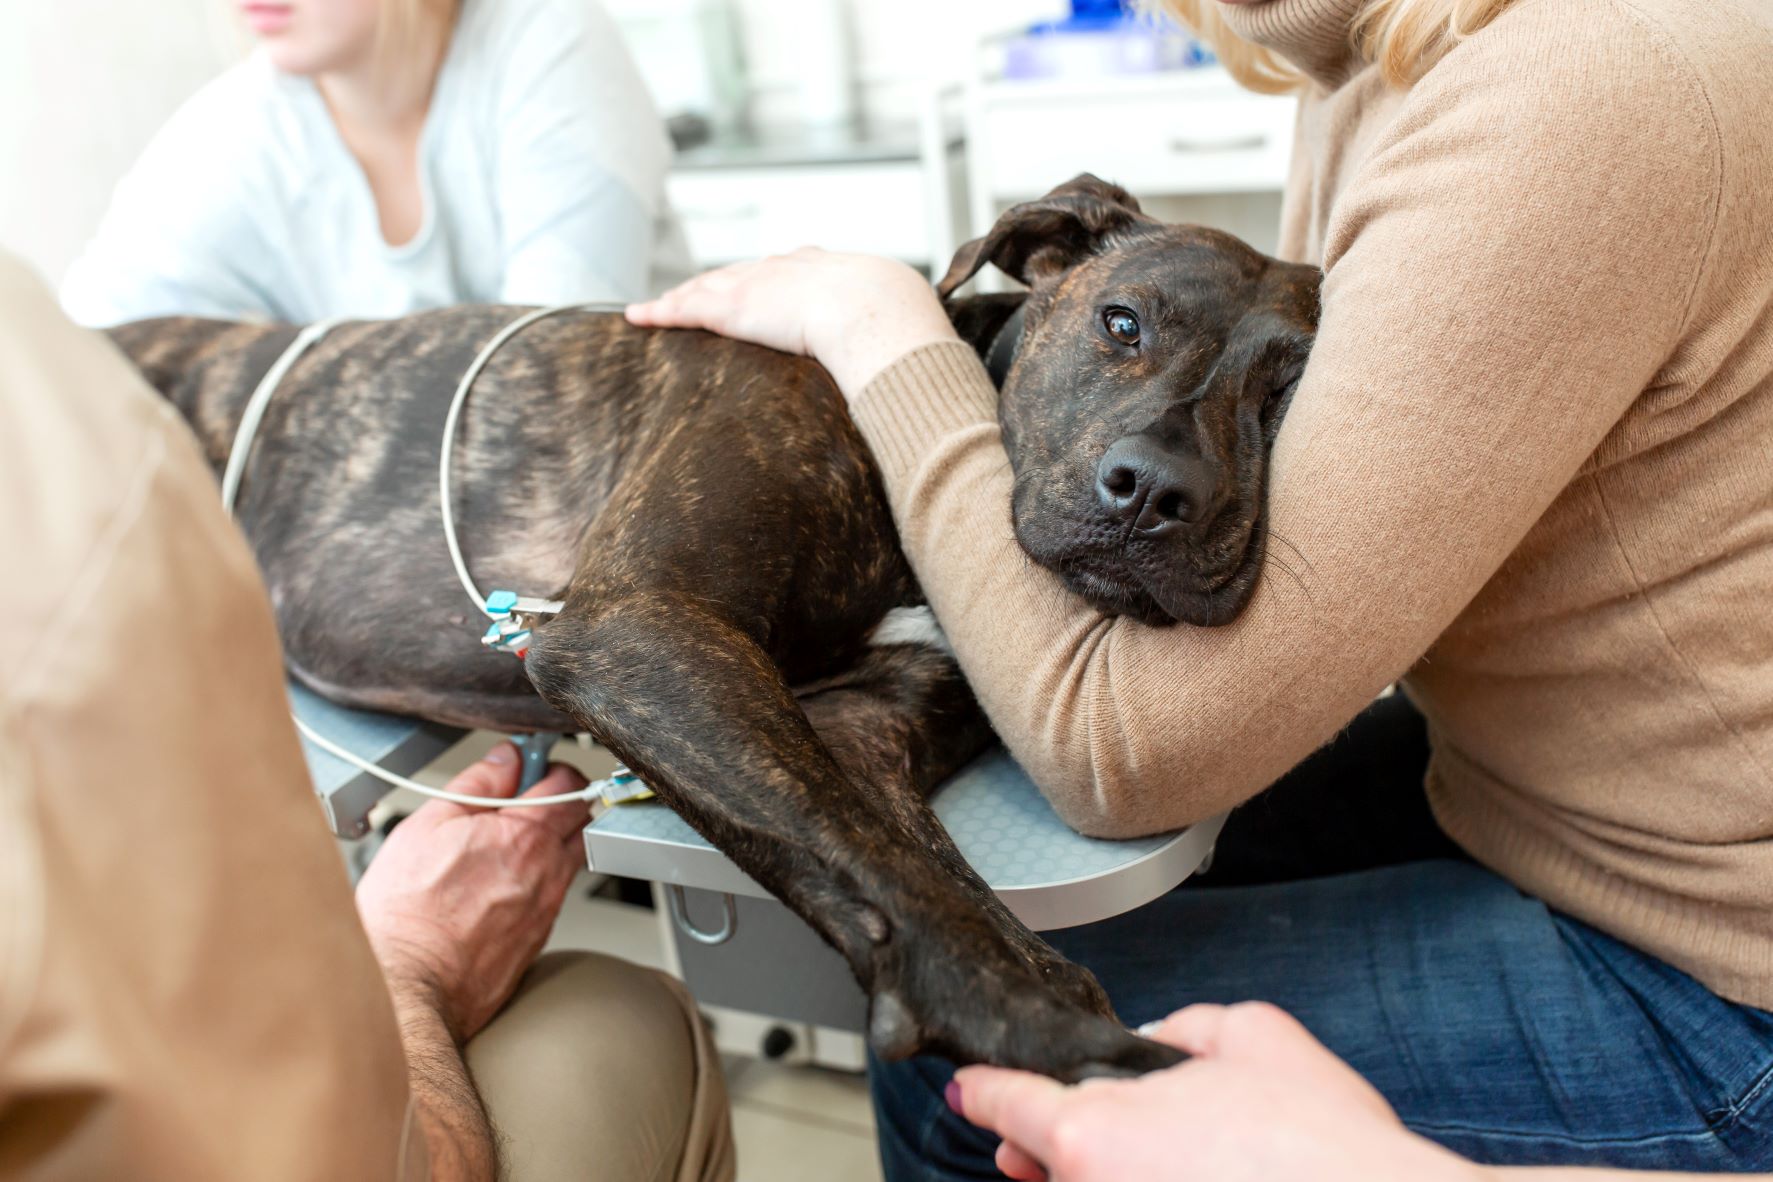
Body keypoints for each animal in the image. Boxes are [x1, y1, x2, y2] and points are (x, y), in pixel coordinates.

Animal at [100, 175, 1319, 1084]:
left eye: (1285, 395)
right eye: (1122, 322)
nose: (1154, 492)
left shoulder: (856, 728)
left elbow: (902, 864)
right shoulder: (641, 628)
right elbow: (891, 868)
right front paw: (1039, 1023)